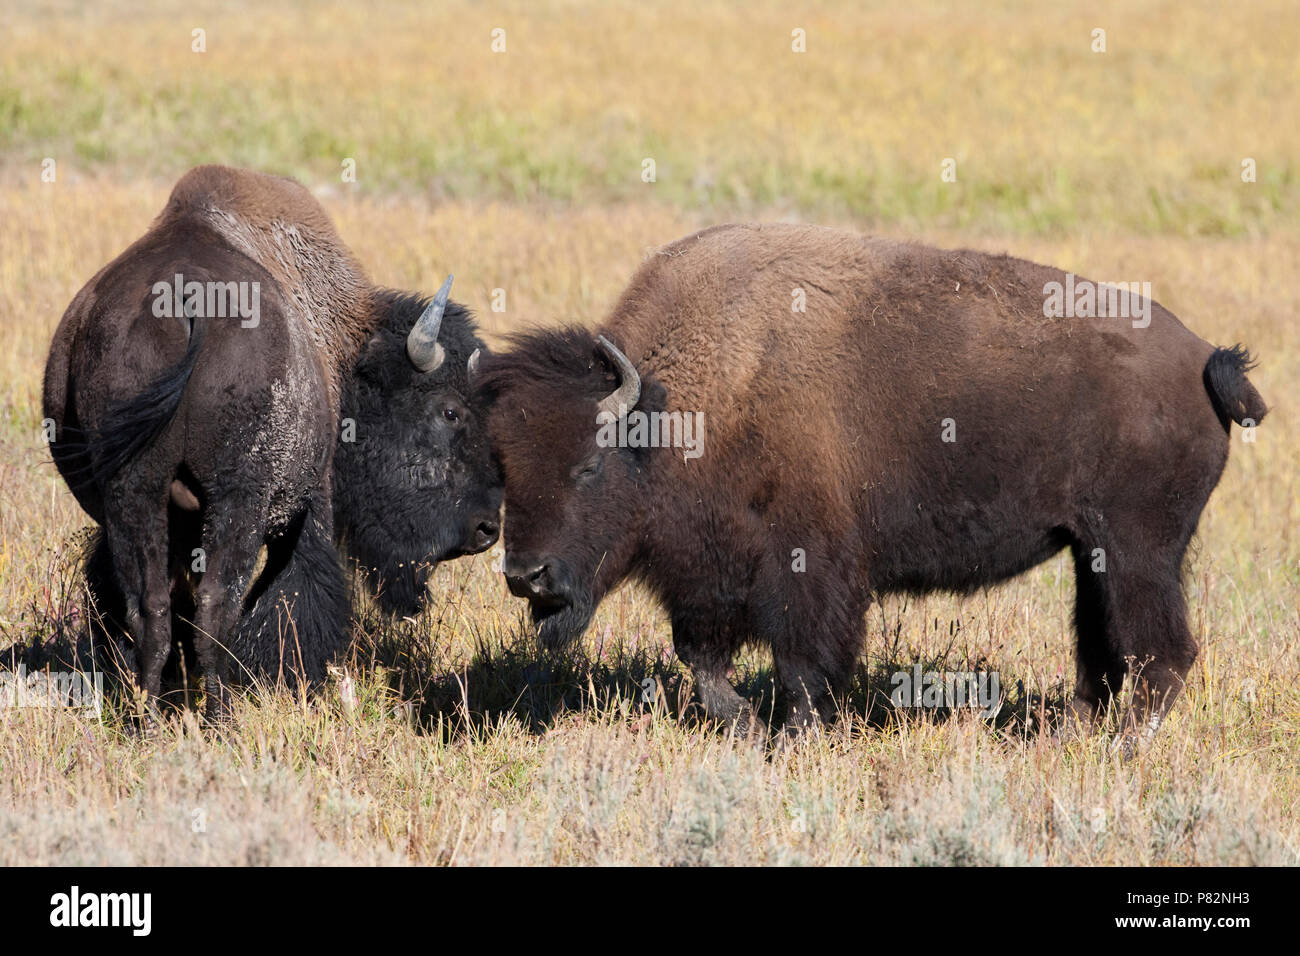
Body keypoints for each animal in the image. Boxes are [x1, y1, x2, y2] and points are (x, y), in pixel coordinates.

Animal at [43, 166, 499, 717]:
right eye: (450, 411)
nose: (486, 529)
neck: (345, 350)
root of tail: (184, 307)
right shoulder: (307, 504)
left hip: (135, 487)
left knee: (150, 606)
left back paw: (149, 716)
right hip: (237, 498)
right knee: (217, 605)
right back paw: (220, 717)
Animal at [478, 222, 1268, 738]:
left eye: (587, 464)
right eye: (503, 467)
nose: (526, 575)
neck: (675, 408)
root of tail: (1204, 357)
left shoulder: (807, 569)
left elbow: (801, 662)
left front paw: (799, 735)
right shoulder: (706, 574)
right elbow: (702, 657)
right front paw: (746, 726)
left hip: (1139, 550)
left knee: (1162, 654)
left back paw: (1120, 746)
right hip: (1092, 552)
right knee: (1101, 651)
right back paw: (1067, 734)